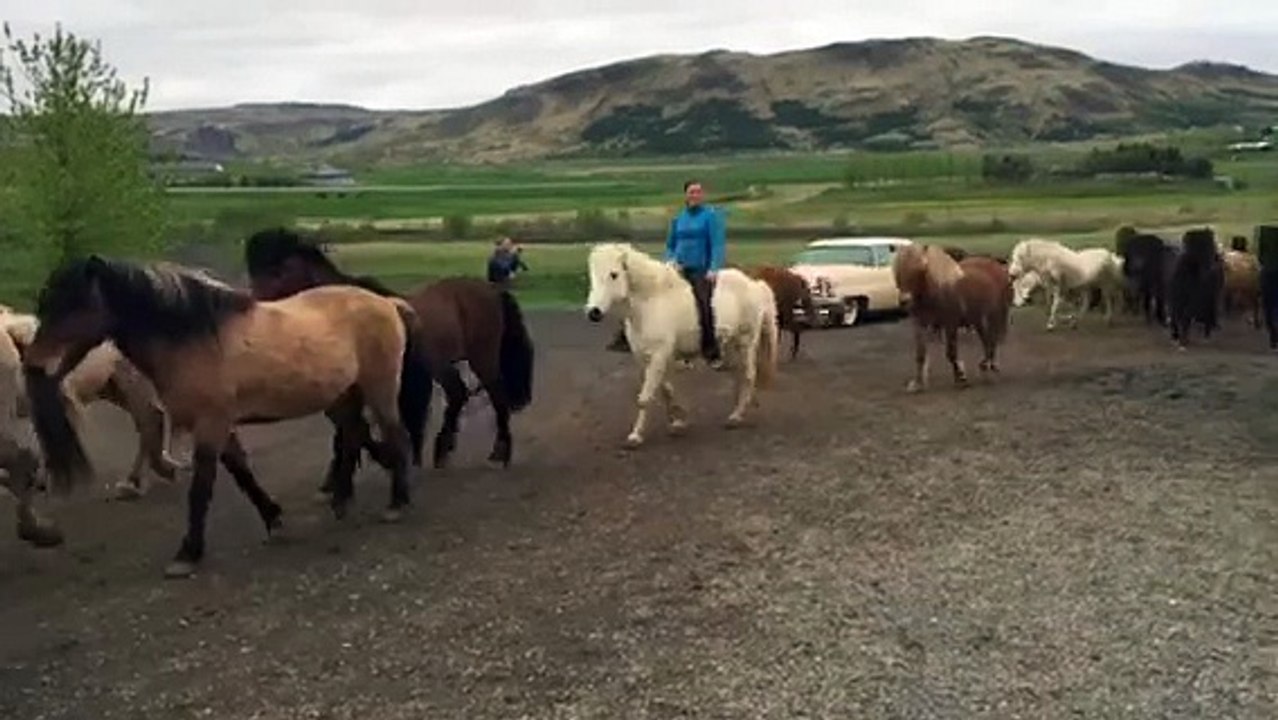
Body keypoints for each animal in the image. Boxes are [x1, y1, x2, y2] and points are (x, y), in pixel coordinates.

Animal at [21, 255, 426, 579]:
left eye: (73, 304)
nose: (33, 362)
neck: (194, 338)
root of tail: (386, 302)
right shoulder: (220, 425)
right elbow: (242, 473)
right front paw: (274, 519)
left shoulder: (211, 424)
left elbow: (202, 487)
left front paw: (188, 553)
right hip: (342, 395)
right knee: (354, 434)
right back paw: (342, 502)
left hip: (379, 390)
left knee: (395, 436)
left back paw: (397, 503)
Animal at [243, 227, 534, 473]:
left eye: (274, 270)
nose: (252, 310)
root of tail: (491, 291)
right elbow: (350, 429)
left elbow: (357, 429)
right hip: (442, 364)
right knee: (458, 394)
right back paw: (443, 450)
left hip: (481, 357)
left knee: (496, 395)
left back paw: (499, 452)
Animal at [584, 243, 779, 448]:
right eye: (592, 275)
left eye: (613, 274)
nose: (593, 312)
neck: (651, 301)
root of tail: (754, 284)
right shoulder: (647, 358)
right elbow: (666, 390)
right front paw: (678, 419)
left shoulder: (659, 355)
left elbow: (645, 398)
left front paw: (636, 436)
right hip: (730, 346)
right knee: (739, 376)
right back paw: (739, 411)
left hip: (745, 342)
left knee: (749, 376)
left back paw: (737, 415)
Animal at [892, 243, 1012, 393]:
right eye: (898, 269)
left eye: (921, 269)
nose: (904, 301)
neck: (935, 290)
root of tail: (997, 265)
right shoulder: (919, 324)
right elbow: (920, 354)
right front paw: (917, 384)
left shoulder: (950, 324)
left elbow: (951, 353)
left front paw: (961, 378)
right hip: (977, 318)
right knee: (986, 340)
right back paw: (985, 366)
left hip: (995, 314)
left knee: (993, 340)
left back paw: (992, 366)